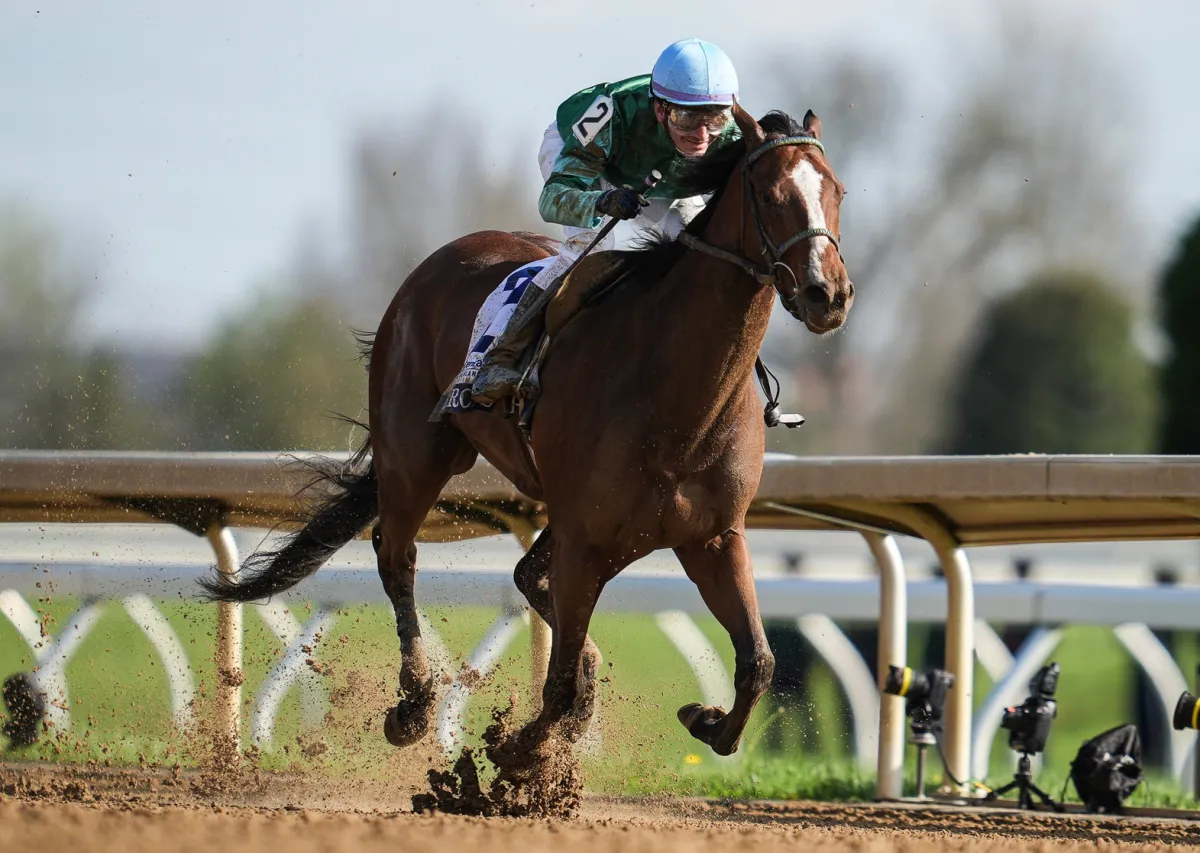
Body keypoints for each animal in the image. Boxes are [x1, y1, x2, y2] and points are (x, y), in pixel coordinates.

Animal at [200, 102, 854, 763]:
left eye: (837, 191)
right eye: (770, 194)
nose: (828, 294)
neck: (678, 396)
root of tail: (434, 265)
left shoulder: (712, 537)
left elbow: (758, 663)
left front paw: (702, 718)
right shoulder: (587, 540)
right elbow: (557, 684)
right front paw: (520, 753)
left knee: (524, 576)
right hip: (416, 455)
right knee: (397, 555)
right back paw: (414, 706)